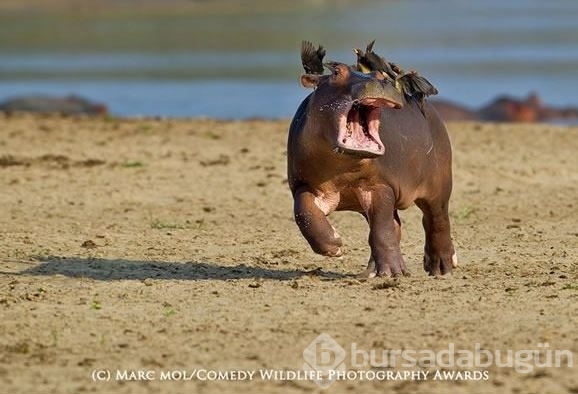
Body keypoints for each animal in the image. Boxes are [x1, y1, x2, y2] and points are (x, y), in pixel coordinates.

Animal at [286, 44, 454, 278]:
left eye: (380, 75)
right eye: (336, 72)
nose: (380, 82)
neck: (343, 167)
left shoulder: (380, 186)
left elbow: (382, 229)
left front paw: (393, 273)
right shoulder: (303, 184)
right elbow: (304, 213)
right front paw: (334, 245)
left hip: (439, 185)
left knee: (436, 220)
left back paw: (441, 268)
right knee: (396, 225)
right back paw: (371, 271)